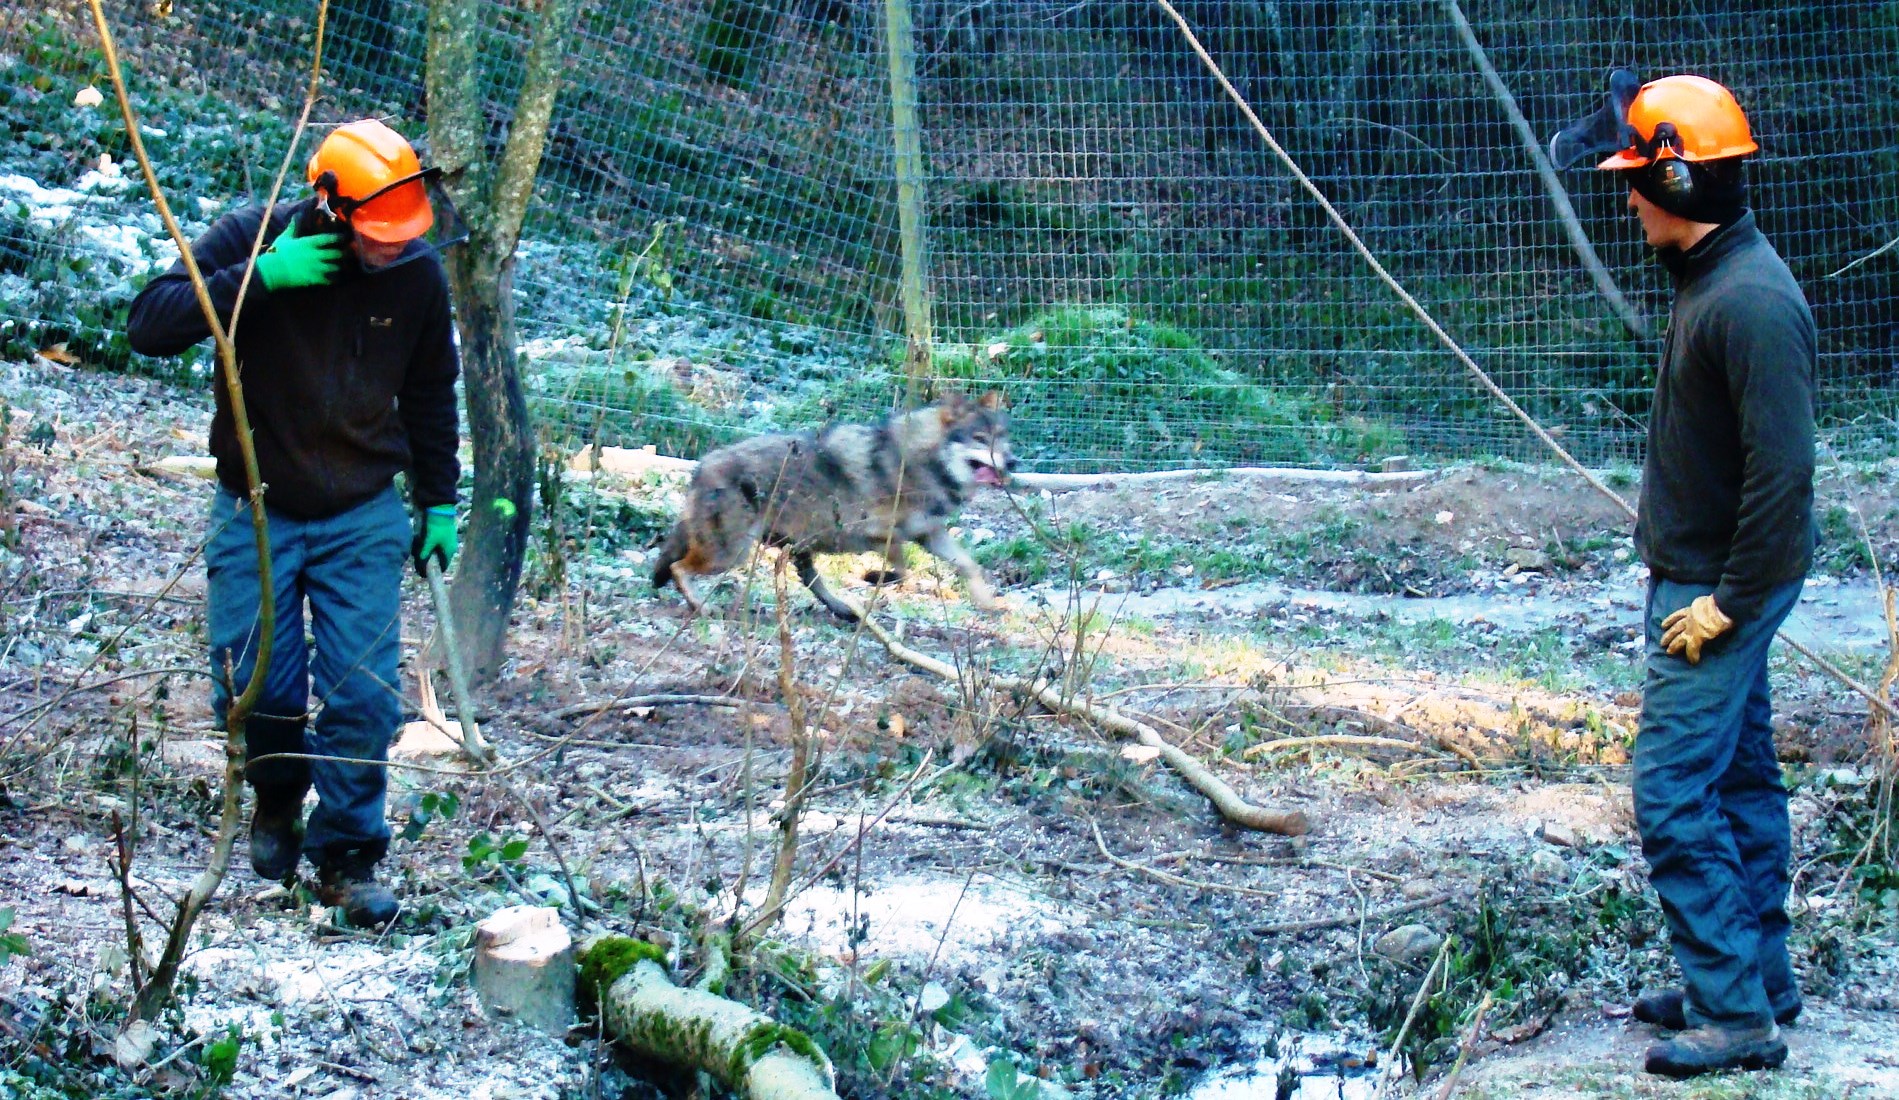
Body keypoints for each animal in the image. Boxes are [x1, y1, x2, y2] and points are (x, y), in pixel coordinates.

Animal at [649, 393, 1010, 619]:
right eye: (980, 439)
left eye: (1004, 439)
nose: (1013, 462)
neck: (916, 462)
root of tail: (700, 468)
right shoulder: (879, 534)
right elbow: (904, 569)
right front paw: (876, 576)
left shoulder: (929, 534)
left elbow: (969, 566)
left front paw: (989, 604)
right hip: (731, 555)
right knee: (677, 567)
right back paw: (701, 607)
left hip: (793, 548)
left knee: (810, 581)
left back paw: (842, 609)